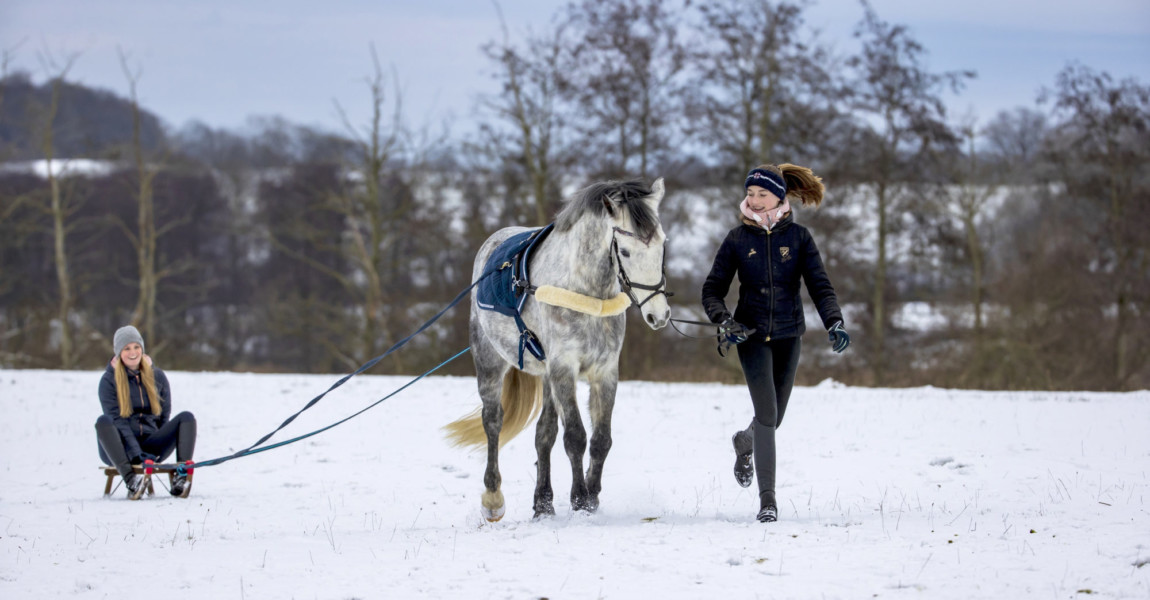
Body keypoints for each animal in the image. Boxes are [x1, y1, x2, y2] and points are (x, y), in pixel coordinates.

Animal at [443, 177, 671, 517]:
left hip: (546, 375)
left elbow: (601, 439)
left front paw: (592, 495)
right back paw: (493, 498)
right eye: (625, 252)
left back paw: (543, 502)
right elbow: (575, 436)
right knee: (493, 421)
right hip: (490, 363)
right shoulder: (564, 368)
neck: (584, 291)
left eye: (662, 245)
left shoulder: (604, 371)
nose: (659, 314)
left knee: (544, 433)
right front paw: (580, 498)